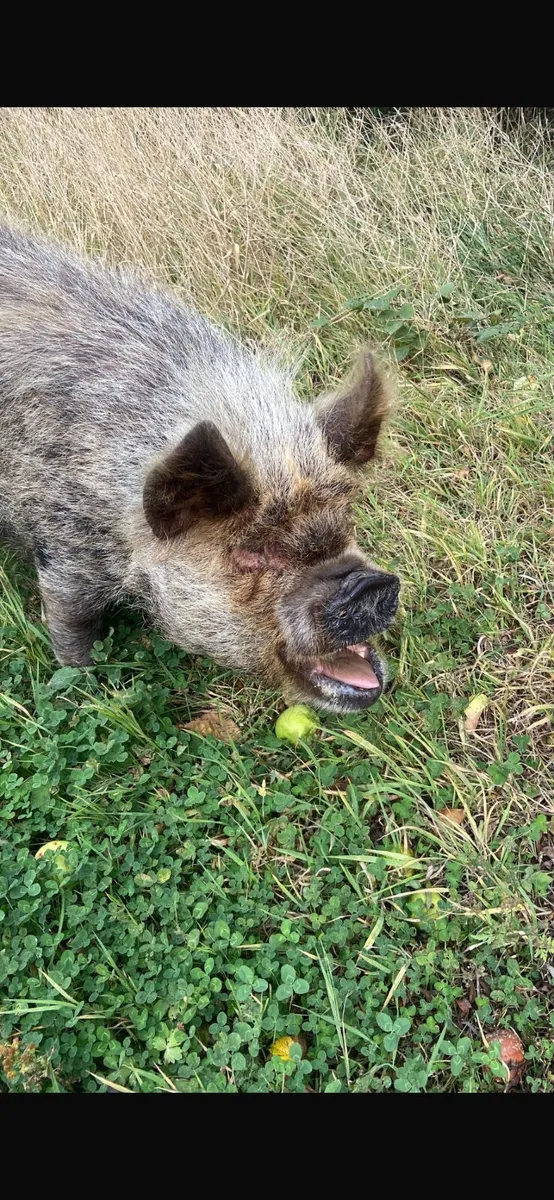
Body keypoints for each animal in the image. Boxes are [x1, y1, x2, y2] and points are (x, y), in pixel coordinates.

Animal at [0, 224, 400, 712]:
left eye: (345, 517)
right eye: (251, 552)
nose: (370, 583)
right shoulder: (63, 547)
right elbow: (70, 622)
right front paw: (84, 683)